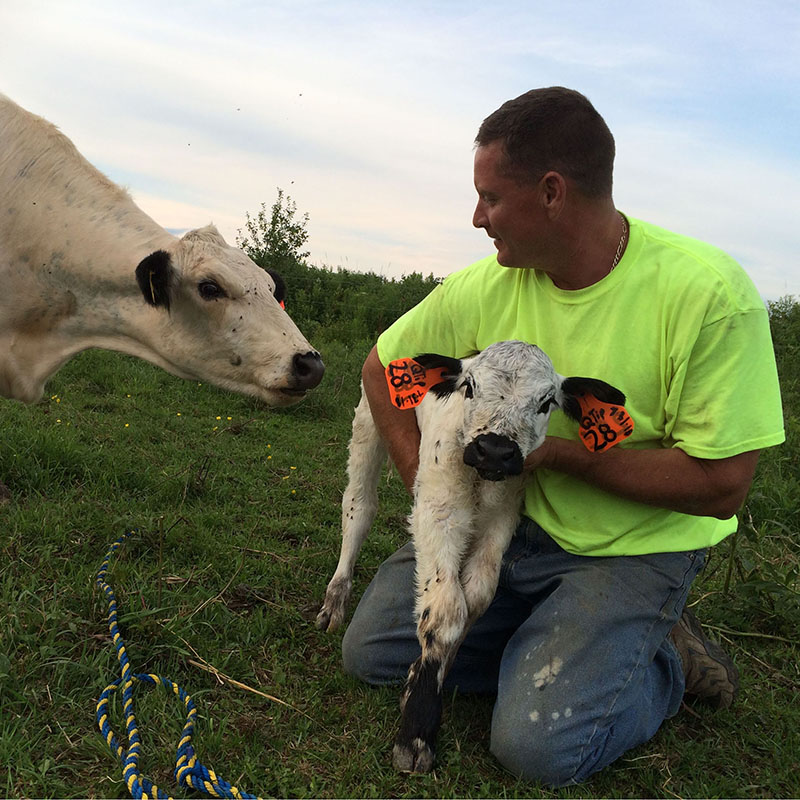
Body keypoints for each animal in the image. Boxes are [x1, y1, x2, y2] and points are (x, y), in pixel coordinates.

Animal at [318, 340, 624, 776]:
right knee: (359, 506)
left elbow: (474, 600)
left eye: (546, 401)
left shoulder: (501, 521)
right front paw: (417, 731)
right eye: (470, 387)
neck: (481, 481)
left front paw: (420, 680)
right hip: (368, 422)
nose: (495, 450)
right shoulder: (438, 509)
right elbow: (445, 611)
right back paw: (335, 599)